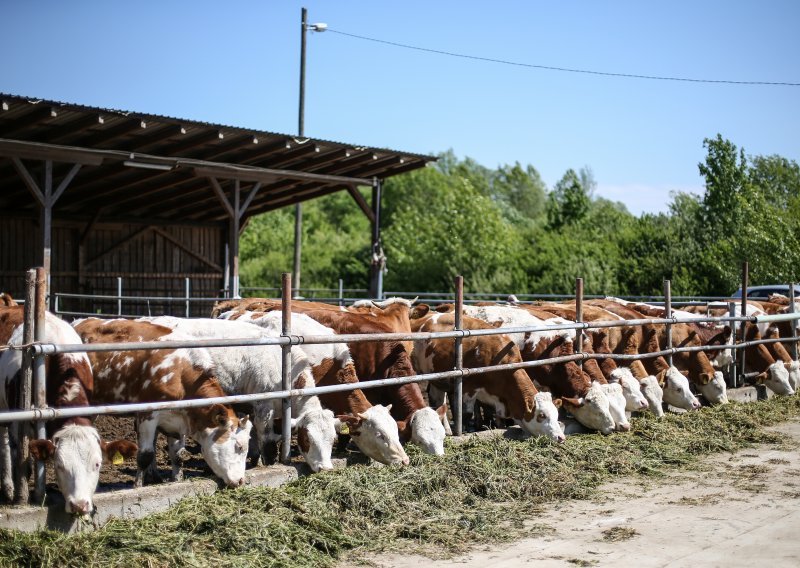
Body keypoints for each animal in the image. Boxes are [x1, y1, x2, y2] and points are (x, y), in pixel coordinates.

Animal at [0, 308, 136, 516]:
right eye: (59, 465)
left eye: (97, 464)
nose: (79, 505)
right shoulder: (18, 419)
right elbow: (18, 456)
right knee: (5, 441)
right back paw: (8, 488)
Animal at [74, 320, 253, 488]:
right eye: (239, 446)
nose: (241, 481)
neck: (181, 375)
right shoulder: (147, 415)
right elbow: (145, 455)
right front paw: (137, 486)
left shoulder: (176, 420)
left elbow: (177, 455)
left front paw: (176, 480)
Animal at [144, 316, 340, 470]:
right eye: (307, 439)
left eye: (332, 440)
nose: (325, 468)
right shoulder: (263, 406)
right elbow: (267, 441)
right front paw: (269, 463)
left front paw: (255, 460)